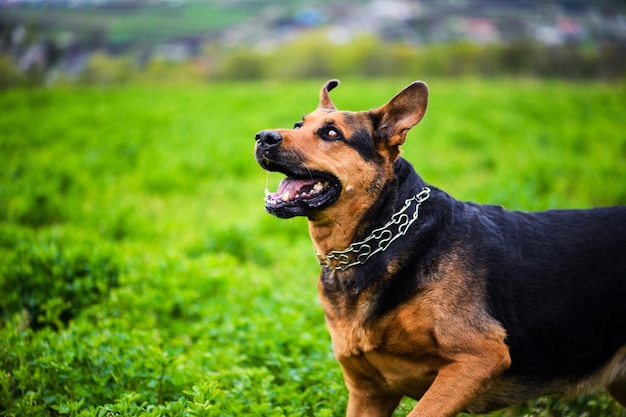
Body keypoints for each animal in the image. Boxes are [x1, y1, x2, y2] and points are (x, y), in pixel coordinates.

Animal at [252, 79, 624, 414]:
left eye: (331, 134)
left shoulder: (479, 358)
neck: (377, 241)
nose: (263, 137)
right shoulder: (369, 393)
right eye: (298, 125)